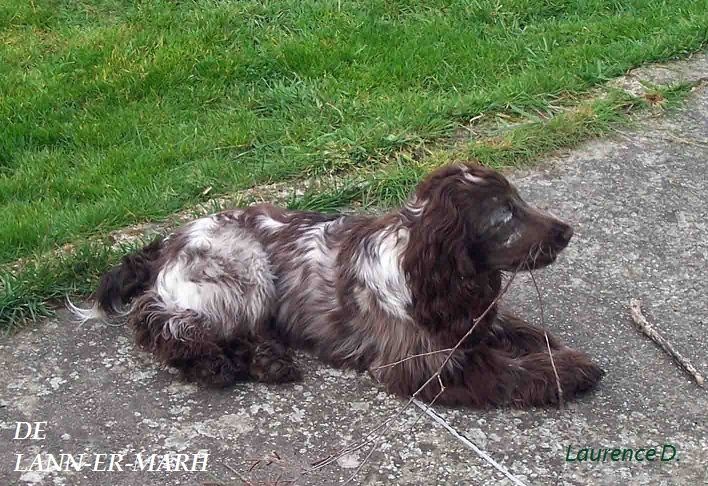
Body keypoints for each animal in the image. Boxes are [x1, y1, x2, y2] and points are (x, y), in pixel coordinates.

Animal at [70, 162, 604, 406]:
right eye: (505, 214)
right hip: (243, 270)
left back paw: (265, 362)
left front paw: (545, 344)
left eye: (520, 201)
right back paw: (212, 365)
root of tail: (169, 241)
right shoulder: (421, 366)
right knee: (164, 325)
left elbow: (511, 328)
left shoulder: (467, 320)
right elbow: (510, 371)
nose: (567, 231)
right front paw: (572, 368)